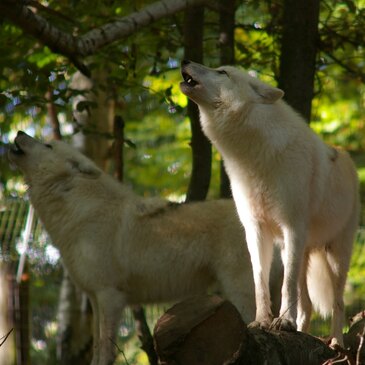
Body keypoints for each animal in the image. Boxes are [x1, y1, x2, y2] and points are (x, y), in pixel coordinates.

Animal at [7, 132, 256, 364]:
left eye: (48, 146)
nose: (19, 132)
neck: (80, 210)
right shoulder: (95, 298)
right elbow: (96, 347)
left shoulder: (109, 295)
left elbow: (106, 349)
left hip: (239, 291)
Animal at [179, 59, 358, 344]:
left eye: (222, 72)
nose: (185, 61)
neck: (252, 158)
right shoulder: (255, 230)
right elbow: (260, 284)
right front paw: (262, 321)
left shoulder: (292, 227)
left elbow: (286, 287)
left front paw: (283, 322)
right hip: (294, 252)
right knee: (307, 304)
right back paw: (302, 333)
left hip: (335, 255)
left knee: (337, 303)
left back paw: (336, 344)